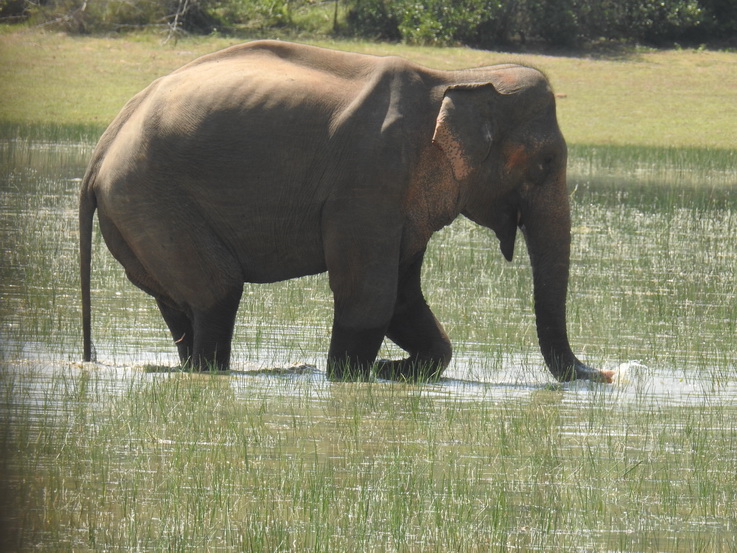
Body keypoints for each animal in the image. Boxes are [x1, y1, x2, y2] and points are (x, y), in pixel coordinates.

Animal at [77, 40, 612, 384]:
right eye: (544, 164)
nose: (604, 372)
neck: (458, 77)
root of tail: (101, 149)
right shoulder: (369, 181)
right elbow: (370, 295)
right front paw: (350, 377)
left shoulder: (401, 198)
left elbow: (403, 297)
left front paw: (392, 372)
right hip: (151, 199)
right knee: (217, 293)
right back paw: (210, 371)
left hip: (138, 215)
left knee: (180, 303)